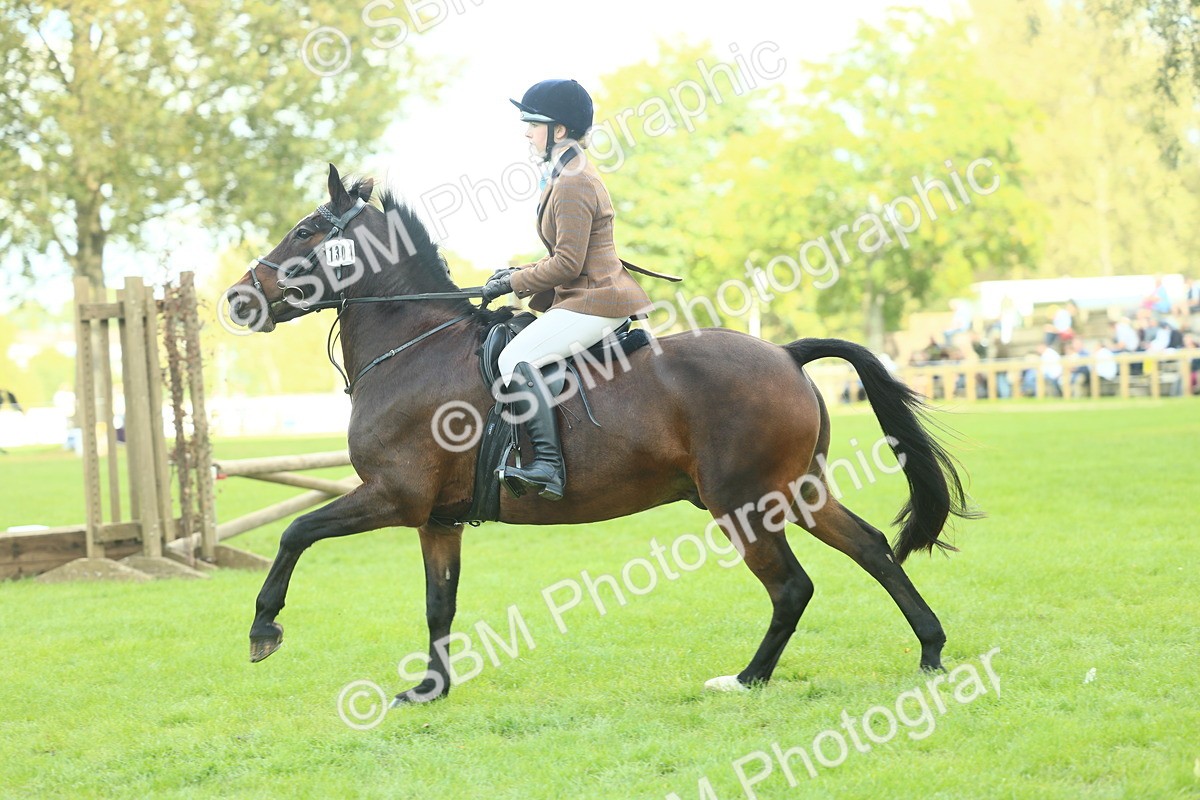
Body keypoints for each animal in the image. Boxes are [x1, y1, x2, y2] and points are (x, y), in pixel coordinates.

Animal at [225, 164, 975, 707]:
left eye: (305, 230)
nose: (236, 299)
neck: (414, 349)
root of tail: (786, 355)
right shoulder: (437, 518)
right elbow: (440, 604)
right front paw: (429, 690)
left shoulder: (392, 496)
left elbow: (294, 534)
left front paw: (263, 628)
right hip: (798, 491)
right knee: (873, 550)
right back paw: (931, 651)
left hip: (744, 503)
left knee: (791, 587)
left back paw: (746, 680)